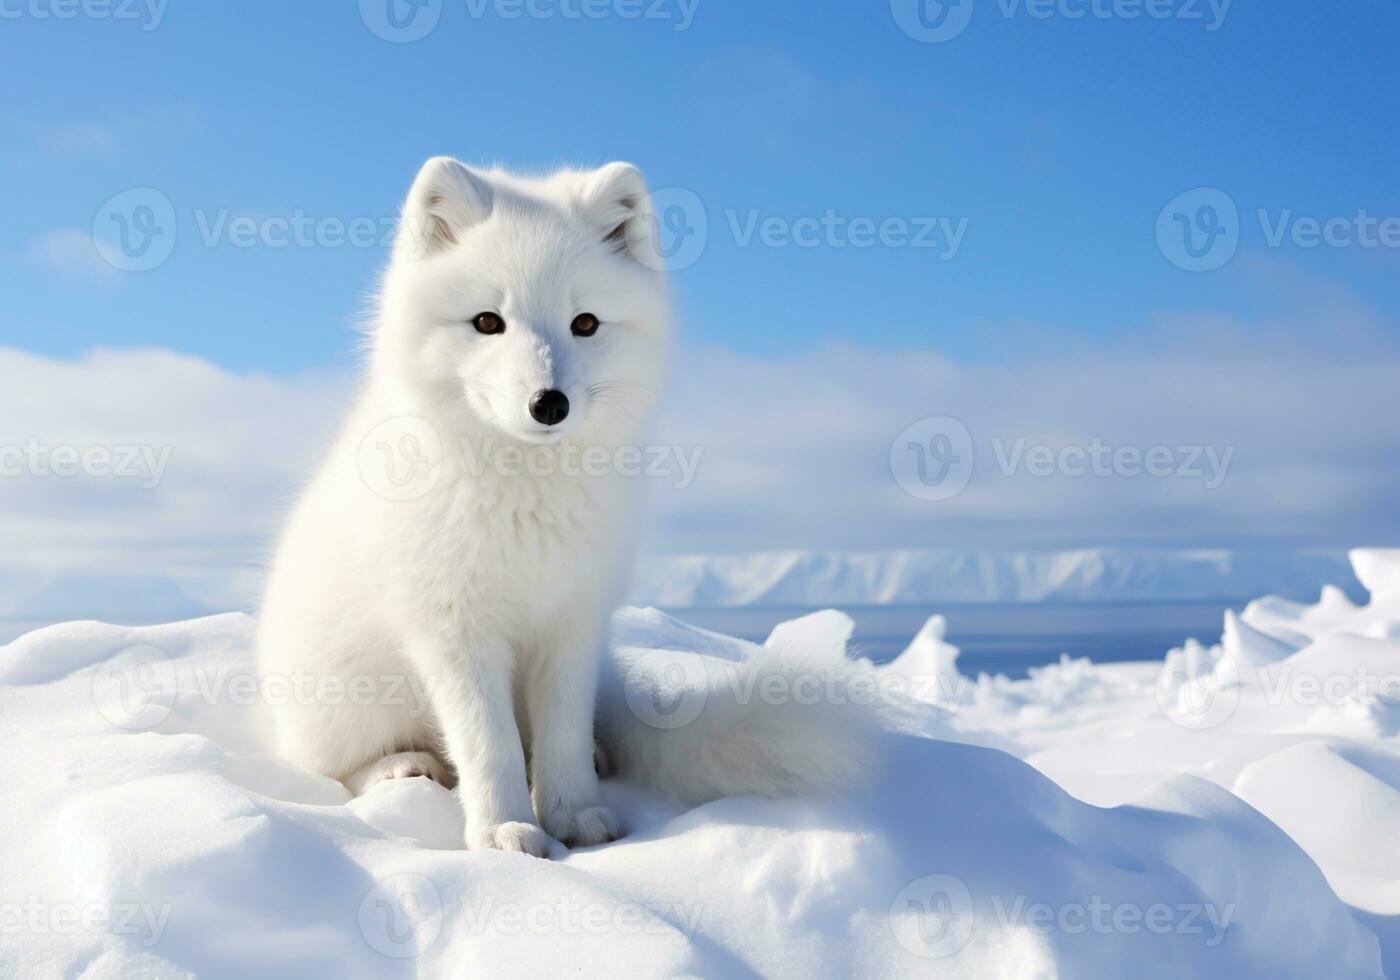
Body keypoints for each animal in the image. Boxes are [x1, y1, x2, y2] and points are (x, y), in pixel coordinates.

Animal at [257, 161, 884, 856]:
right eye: (487, 322)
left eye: (585, 323)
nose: (548, 403)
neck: (527, 492)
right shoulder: (454, 629)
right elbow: (489, 744)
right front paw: (504, 831)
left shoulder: (574, 622)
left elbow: (560, 737)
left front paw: (574, 814)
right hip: (342, 698)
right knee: (335, 765)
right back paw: (401, 766)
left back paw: (598, 757)